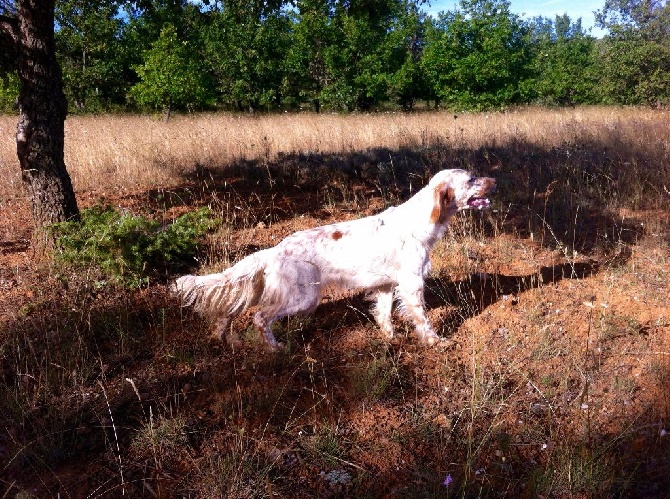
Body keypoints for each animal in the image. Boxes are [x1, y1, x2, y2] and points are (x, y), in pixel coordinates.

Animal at [176, 171, 496, 352]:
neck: (420, 221)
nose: (495, 179)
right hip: (302, 297)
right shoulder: (412, 283)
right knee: (259, 317)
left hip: (268, 289)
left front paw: (390, 339)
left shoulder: (384, 286)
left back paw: (226, 339)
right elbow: (422, 319)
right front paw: (435, 342)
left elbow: (384, 316)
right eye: (470, 179)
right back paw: (275, 348)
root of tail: (274, 250)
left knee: (230, 309)